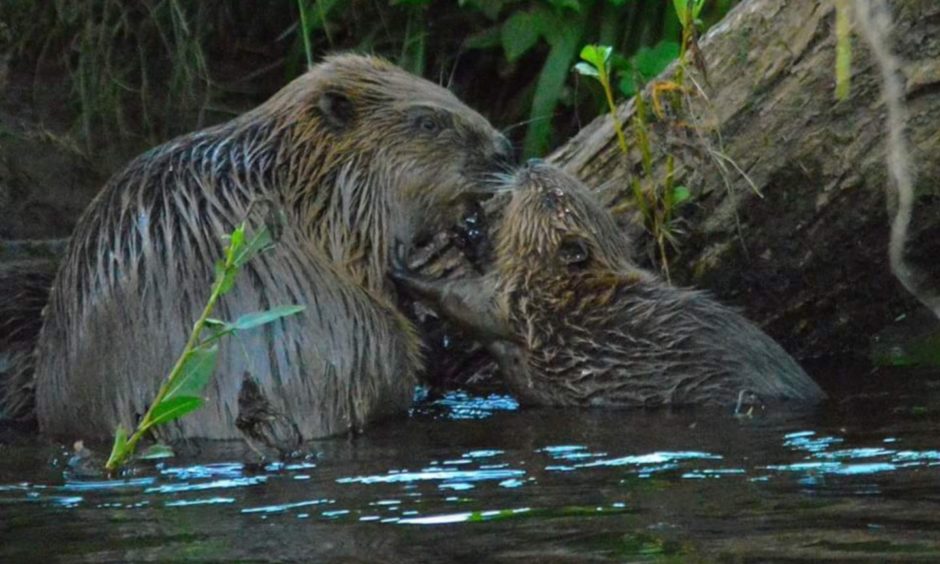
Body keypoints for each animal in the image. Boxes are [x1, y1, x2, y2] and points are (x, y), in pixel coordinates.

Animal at [392, 161, 828, 408]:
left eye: (552, 198)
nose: (531, 164)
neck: (569, 286)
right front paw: (472, 231)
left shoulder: (522, 303)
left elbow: (465, 302)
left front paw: (400, 267)